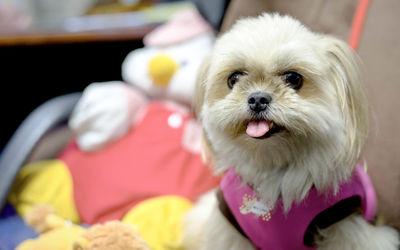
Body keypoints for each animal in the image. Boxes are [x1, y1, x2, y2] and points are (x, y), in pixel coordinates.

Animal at [182, 13, 400, 250]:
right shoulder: (231, 231)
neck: (275, 167)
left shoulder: (347, 226)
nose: (257, 99)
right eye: (234, 78)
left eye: (294, 79)